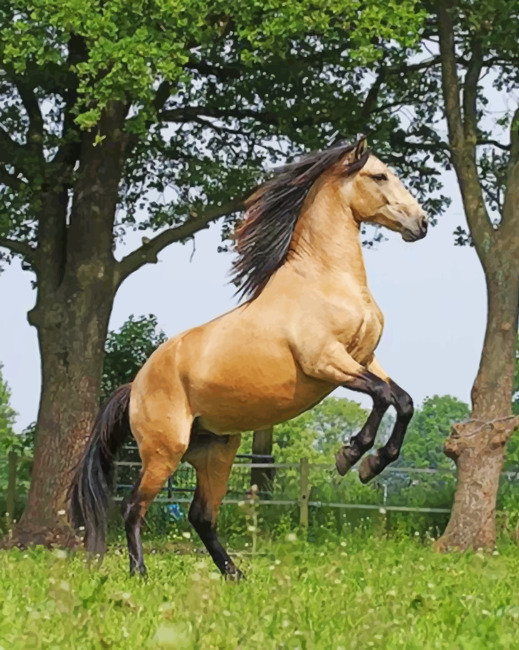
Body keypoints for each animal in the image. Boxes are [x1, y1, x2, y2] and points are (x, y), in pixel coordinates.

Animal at [69, 137, 428, 579]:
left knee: (201, 515)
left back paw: (235, 575)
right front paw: (354, 457)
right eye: (379, 176)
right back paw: (141, 574)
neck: (326, 281)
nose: (421, 223)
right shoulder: (326, 362)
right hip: (163, 452)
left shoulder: (363, 358)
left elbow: (401, 400)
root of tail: (134, 385)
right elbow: (383, 395)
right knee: (133, 506)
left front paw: (366, 461)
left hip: (216, 452)